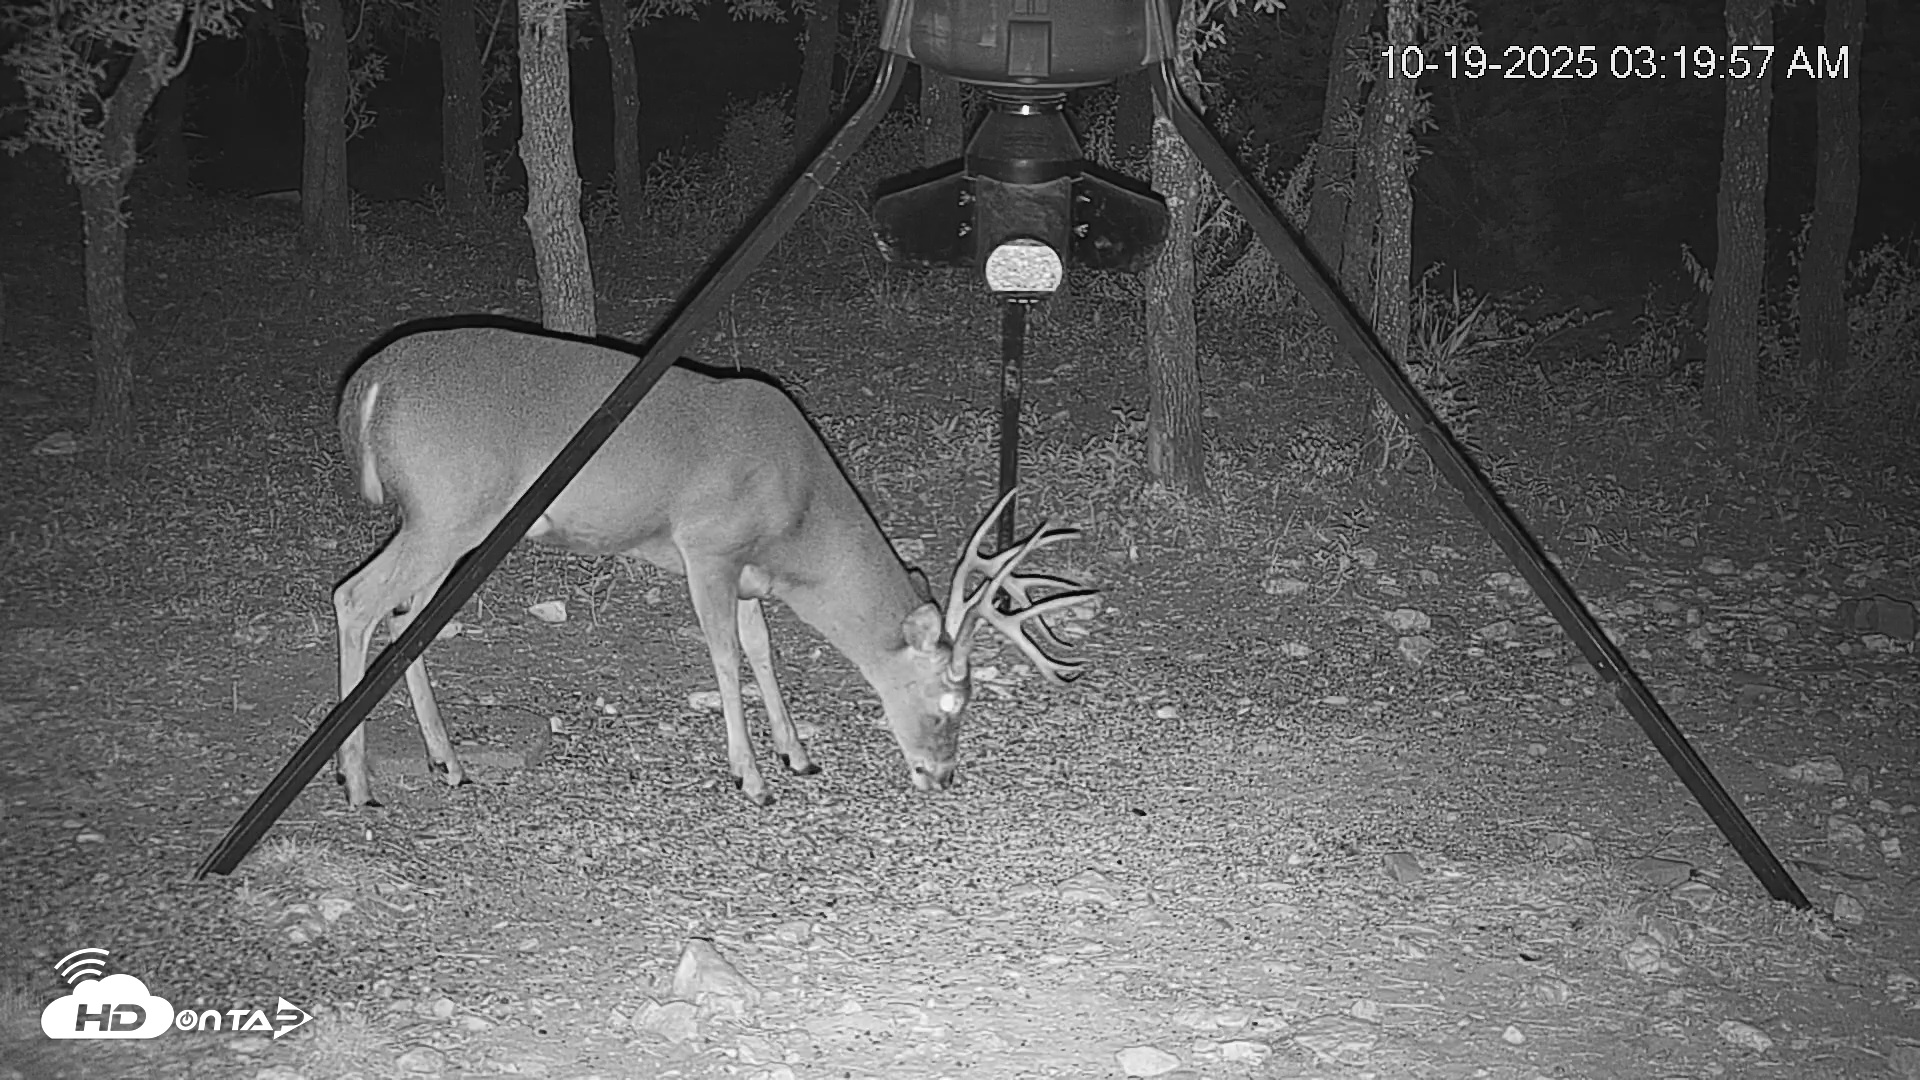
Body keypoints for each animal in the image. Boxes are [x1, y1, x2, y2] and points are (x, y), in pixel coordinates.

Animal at [331, 325, 1094, 808]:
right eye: (947, 702)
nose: (943, 777)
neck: (799, 517)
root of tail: (368, 385)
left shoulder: (749, 568)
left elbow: (761, 648)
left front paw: (797, 754)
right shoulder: (707, 546)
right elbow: (725, 656)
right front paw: (751, 780)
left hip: (454, 525)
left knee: (403, 616)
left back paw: (448, 764)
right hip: (449, 511)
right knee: (355, 597)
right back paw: (357, 781)